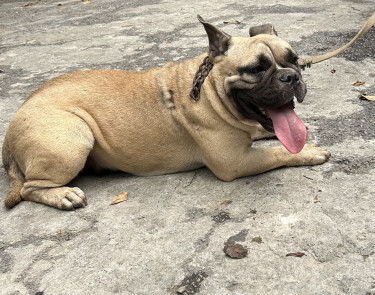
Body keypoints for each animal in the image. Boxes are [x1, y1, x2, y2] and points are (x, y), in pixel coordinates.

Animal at [2, 15, 332, 210]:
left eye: (294, 60)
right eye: (256, 69)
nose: (291, 77)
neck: (211, 91)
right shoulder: (234, 162)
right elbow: (278, 152)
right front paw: (309, 152)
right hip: (73, 138)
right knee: (31, 187)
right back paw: (63, 195)